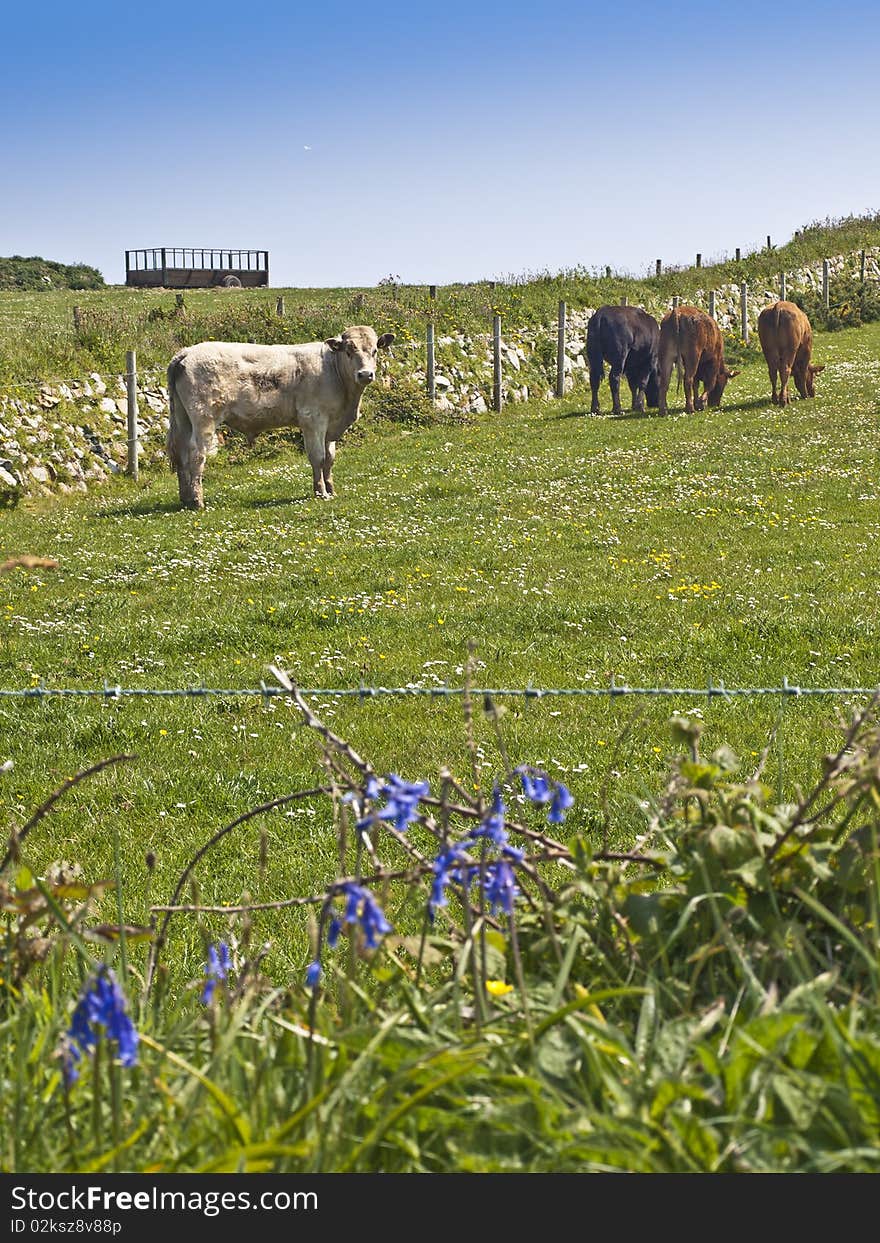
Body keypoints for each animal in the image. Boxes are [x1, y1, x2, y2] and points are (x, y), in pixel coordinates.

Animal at [164, 328, 395, 512]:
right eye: (348, 351)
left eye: (374, 351)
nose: (365, 374)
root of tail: (186, 352)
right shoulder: (313, 419)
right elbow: (318, 457)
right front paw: (320, 492)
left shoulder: (331, 425)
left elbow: (330, 459)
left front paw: (331, 489)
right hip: (204, 419)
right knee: (196, 454)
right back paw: (197, 501)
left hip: (183, 418)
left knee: (181, 453)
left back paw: (186, 498)